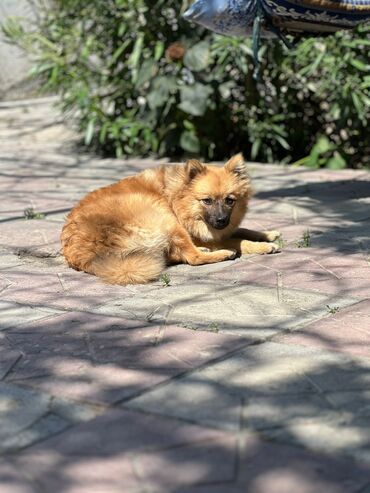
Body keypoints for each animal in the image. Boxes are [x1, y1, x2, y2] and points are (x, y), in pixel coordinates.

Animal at [61, 154, 280, 284]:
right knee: (192, 257)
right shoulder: (202, 233)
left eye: (230, 200)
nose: (220, 220)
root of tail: (89, 254)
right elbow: (238, 240)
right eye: (207, 201)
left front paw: (268, 234)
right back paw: (223, 254)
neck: (177, 197)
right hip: (165, 219)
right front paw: (263, 246)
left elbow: (242, 230)